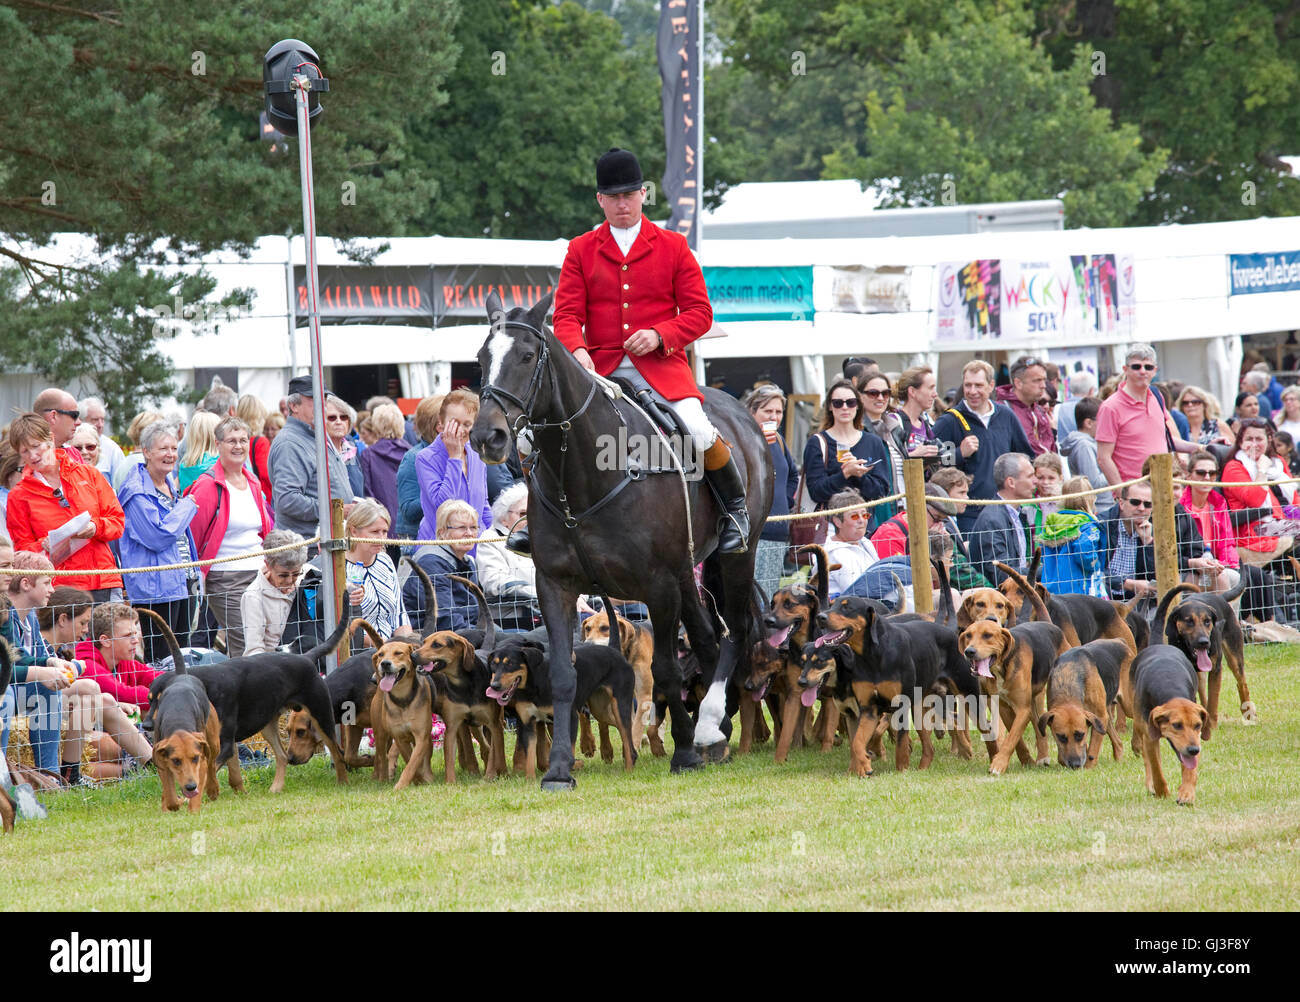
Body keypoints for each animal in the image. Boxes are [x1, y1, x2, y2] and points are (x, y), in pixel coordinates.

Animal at [473, 292, 769, 790]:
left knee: (734, 630)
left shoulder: (658, 585)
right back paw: (717, 731)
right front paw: (559, 768)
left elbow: (667, 669)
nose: (486, 436)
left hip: (734, 558)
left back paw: (708, 725)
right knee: (707, 637)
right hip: (687, 574)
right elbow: (562, 675)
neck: (585, 473)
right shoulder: (554, 584)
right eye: (480, 358)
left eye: (527, 356)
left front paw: (682, 752)